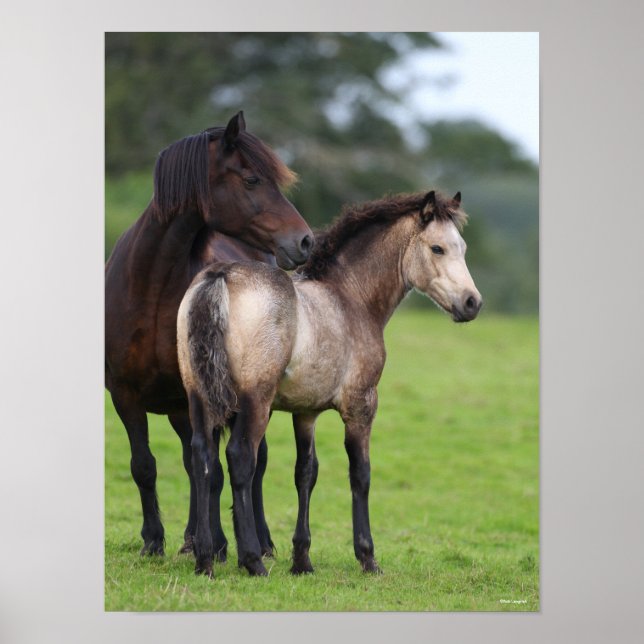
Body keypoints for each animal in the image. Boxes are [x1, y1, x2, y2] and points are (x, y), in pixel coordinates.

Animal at [105, 112, 314, 559]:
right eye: (252, 179)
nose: (305, 240)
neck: (149, 288)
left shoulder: (201, 395)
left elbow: (214, 470)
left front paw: (216, 543)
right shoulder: (125, 395)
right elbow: (145, 466)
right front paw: (154, 540)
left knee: (252, 461)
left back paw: (259, 540)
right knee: (192, 459)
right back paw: (189, 538)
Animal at [176, 190, 482, 577]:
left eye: (463, 247)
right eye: (438, 248)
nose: (472, 303)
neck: (350, 297)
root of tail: (220, 275)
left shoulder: (304, 412)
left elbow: (306, 473)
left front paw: (302, 560)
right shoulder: (361, 404)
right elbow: (360, 473)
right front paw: (368, 557)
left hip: (199, 396)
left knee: (202, 457)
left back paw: (204, 559)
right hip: (255, 401)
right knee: (240, 458)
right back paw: (252, 560)